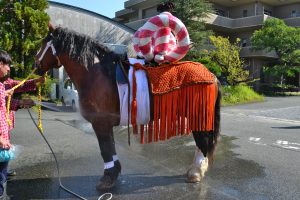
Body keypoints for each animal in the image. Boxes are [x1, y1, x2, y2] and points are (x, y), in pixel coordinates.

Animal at [34, 25, 220, 191]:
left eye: (44, 43)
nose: (36, 64)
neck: (97, 74)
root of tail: (211, 75)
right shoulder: (105, 123)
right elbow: (110, 148)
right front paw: (113, 173)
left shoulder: (100, 122)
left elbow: (105, 149)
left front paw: (107, 179)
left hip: (199, 115)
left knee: (202, 141)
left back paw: (196, 172)